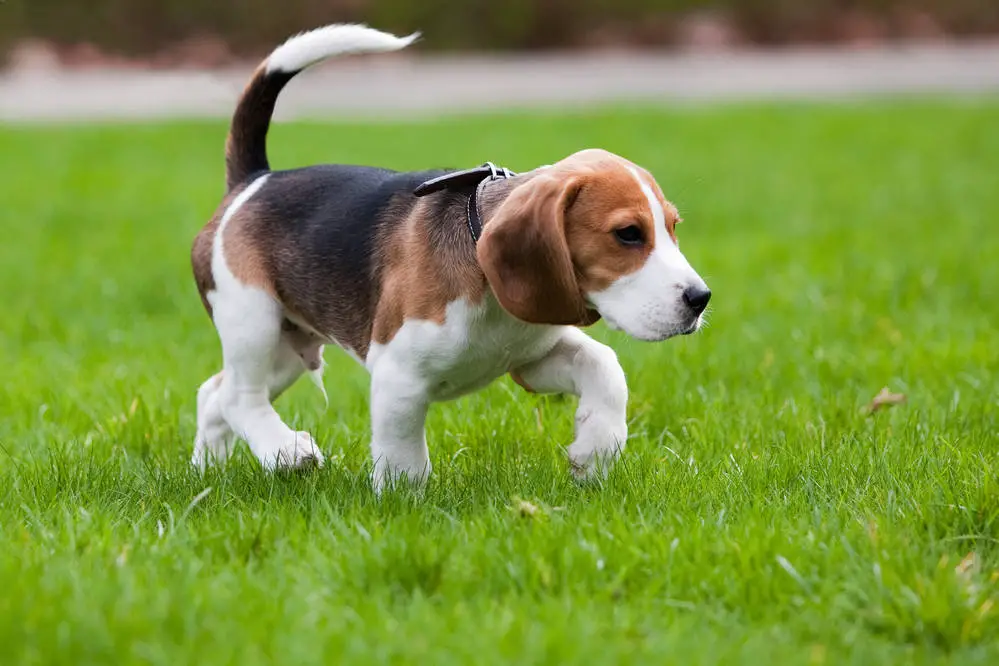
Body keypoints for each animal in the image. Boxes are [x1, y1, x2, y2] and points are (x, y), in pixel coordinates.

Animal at [189, 23, 712, 490]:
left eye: (673, 228)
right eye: (628, 234)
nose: (700, 299)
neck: (490, 290)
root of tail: (255, 180)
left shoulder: (532, 358)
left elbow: (604, 366)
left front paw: (596, 450)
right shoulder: (398, 375)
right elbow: (403, 455)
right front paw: (403, 503)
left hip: (288, 347)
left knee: (213, 393)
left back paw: (206, 472)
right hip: (252, 319)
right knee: (239, 397)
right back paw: (286, 451)